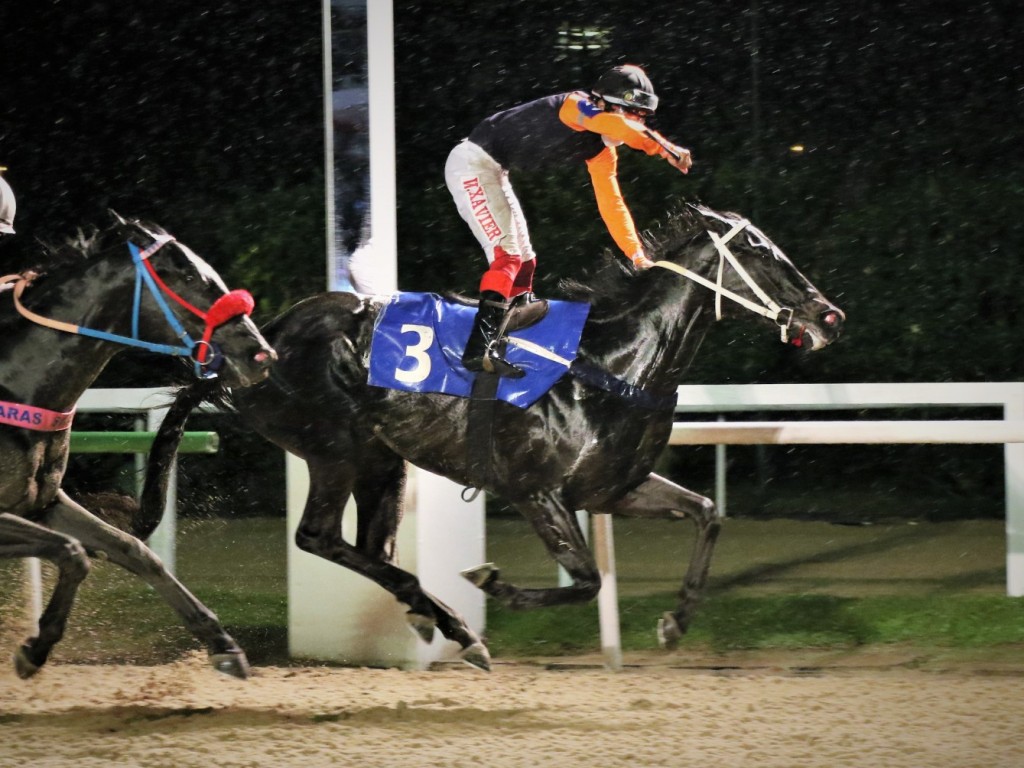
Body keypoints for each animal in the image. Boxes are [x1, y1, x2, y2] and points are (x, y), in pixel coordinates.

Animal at [146, 204, 847, 671]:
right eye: (758, 250)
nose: (829, 316)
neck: (611, 364)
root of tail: (258, 343)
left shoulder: (614, 488)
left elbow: (706, 513)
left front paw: (675, 622)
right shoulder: (535, 490)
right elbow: (587, 581)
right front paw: (494, 585)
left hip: (383, 460)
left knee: (368, 546)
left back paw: (439, 619)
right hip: (334, 448)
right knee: (319, 537)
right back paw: (451, 621)